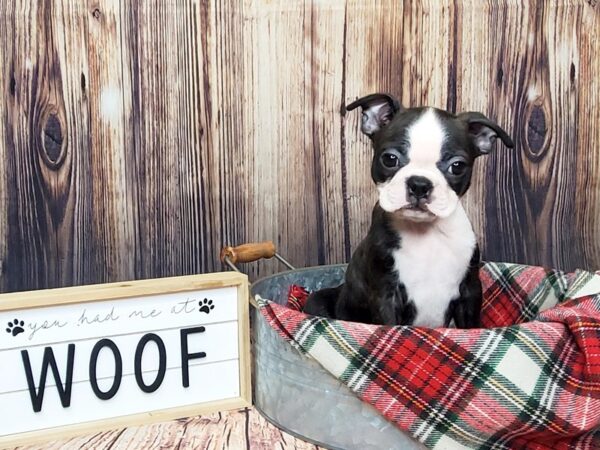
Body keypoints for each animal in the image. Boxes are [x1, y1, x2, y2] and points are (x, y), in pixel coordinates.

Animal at [308, 93, 512, 328]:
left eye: (457, 166)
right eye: (390, 159)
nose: (420, 184)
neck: (425, 232)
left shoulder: (470, 292)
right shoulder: (385, 295)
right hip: (317, 299)